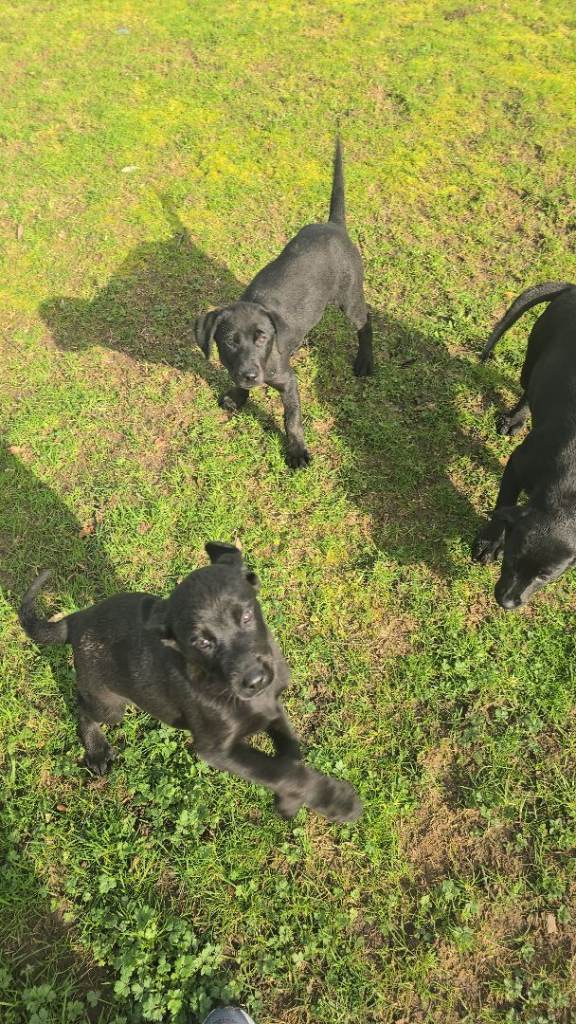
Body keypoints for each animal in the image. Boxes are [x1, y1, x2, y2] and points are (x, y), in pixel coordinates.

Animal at [19, 542, 362, 823]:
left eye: (247, 617)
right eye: (201, 642)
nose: (256, 679)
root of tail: (77, 618)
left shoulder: (273, 708)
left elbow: (291, 758)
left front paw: (289, 802)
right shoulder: (217, 749)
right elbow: (278, 770)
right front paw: (338, 800)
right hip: (109, 704)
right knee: (82, 707)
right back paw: (97, 750)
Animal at [194, 138, 374, 468]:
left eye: (262, 337)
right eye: (229, 341)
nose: (251, 375)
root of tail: (335, 225)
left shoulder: (288, 381)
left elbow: (292, 419)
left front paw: (297, 451)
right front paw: (238, 396)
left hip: (350, 297)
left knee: (366, 321)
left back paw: (365, 361)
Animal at [472, 281, 576, 608]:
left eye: (546, 576)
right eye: (513, 558)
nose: (507, 603)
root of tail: (571, 288)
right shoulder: (518, 464)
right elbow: (502, 505)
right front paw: (489, 543)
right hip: (534, 356)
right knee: (529, 389)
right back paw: (515, 419)